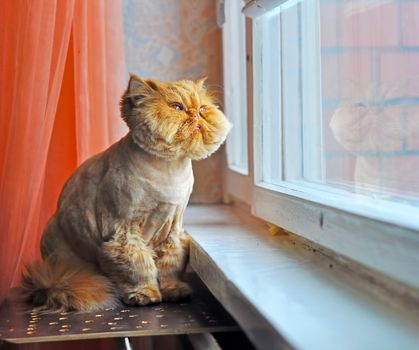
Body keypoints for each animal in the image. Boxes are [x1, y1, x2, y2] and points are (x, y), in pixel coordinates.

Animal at [21, 74, 231, 312]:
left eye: (203, 109)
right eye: (177, 107)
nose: (196, 114)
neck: (169, 170)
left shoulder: (172, 230)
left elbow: (170, 266)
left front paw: (173, 290)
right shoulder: (124, 231)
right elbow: (138, 267)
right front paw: (145, 294)